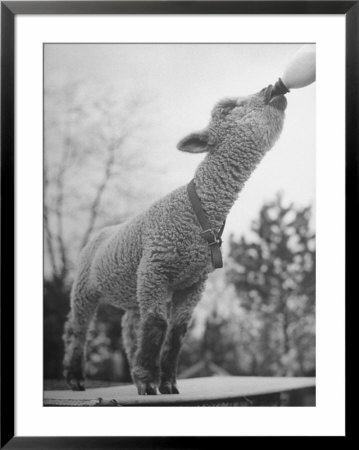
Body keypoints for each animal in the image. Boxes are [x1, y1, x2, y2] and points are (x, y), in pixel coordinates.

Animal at [62, 84, 286, 394]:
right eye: (230, 107)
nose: (272, 88)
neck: (197, 210)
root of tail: (101, 233)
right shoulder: (155, 269)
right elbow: (157, 324)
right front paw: (150, 382)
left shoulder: (193, 283)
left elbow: (176, 332)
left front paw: (167, 384)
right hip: (85, 286)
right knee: (78, 327)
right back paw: (76, 377)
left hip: (134, 288)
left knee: (130, 327)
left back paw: (134, 373)